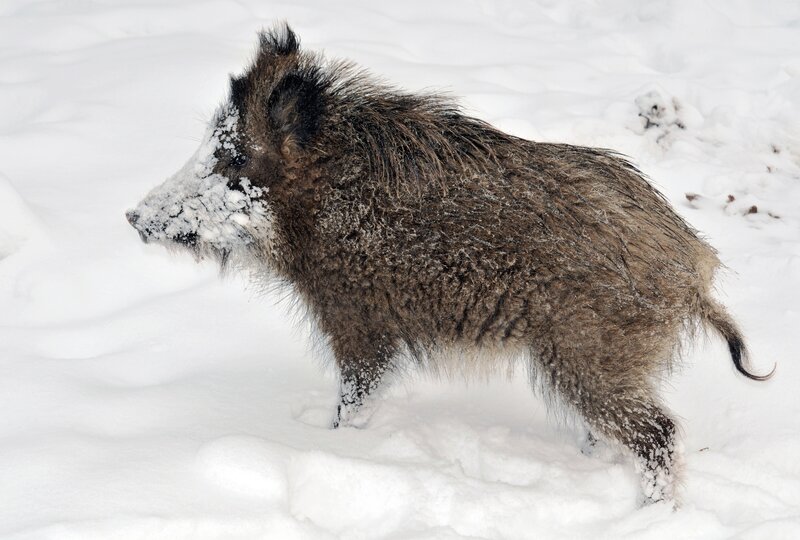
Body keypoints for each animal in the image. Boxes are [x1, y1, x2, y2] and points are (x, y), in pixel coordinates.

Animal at [126, 24, 772, 504]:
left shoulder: (356, 317)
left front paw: (338, 443)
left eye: (234, 161)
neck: (322, 199)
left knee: (658, 434)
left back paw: (650, 512)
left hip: (591, 355)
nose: (132, 217)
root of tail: (693, 265)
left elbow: (356, 394)